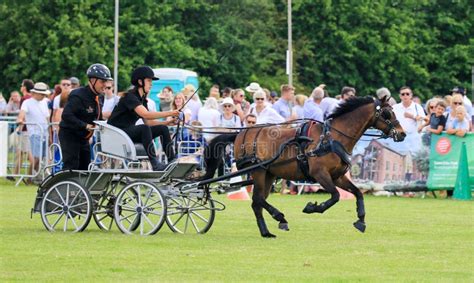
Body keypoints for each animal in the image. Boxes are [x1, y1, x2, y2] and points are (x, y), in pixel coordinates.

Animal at [202, 96, 406, 239]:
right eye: (387, 114)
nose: (402, 134)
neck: (332, 138)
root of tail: (240, 133)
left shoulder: (338, 176)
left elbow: (357, 193)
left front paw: (361, 221)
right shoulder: (320, 174)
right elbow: (335, 196)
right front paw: (312, 207)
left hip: (268, 174)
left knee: (257, 202)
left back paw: (267, 231)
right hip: (258, 171)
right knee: (258, 199)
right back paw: (279, 217)